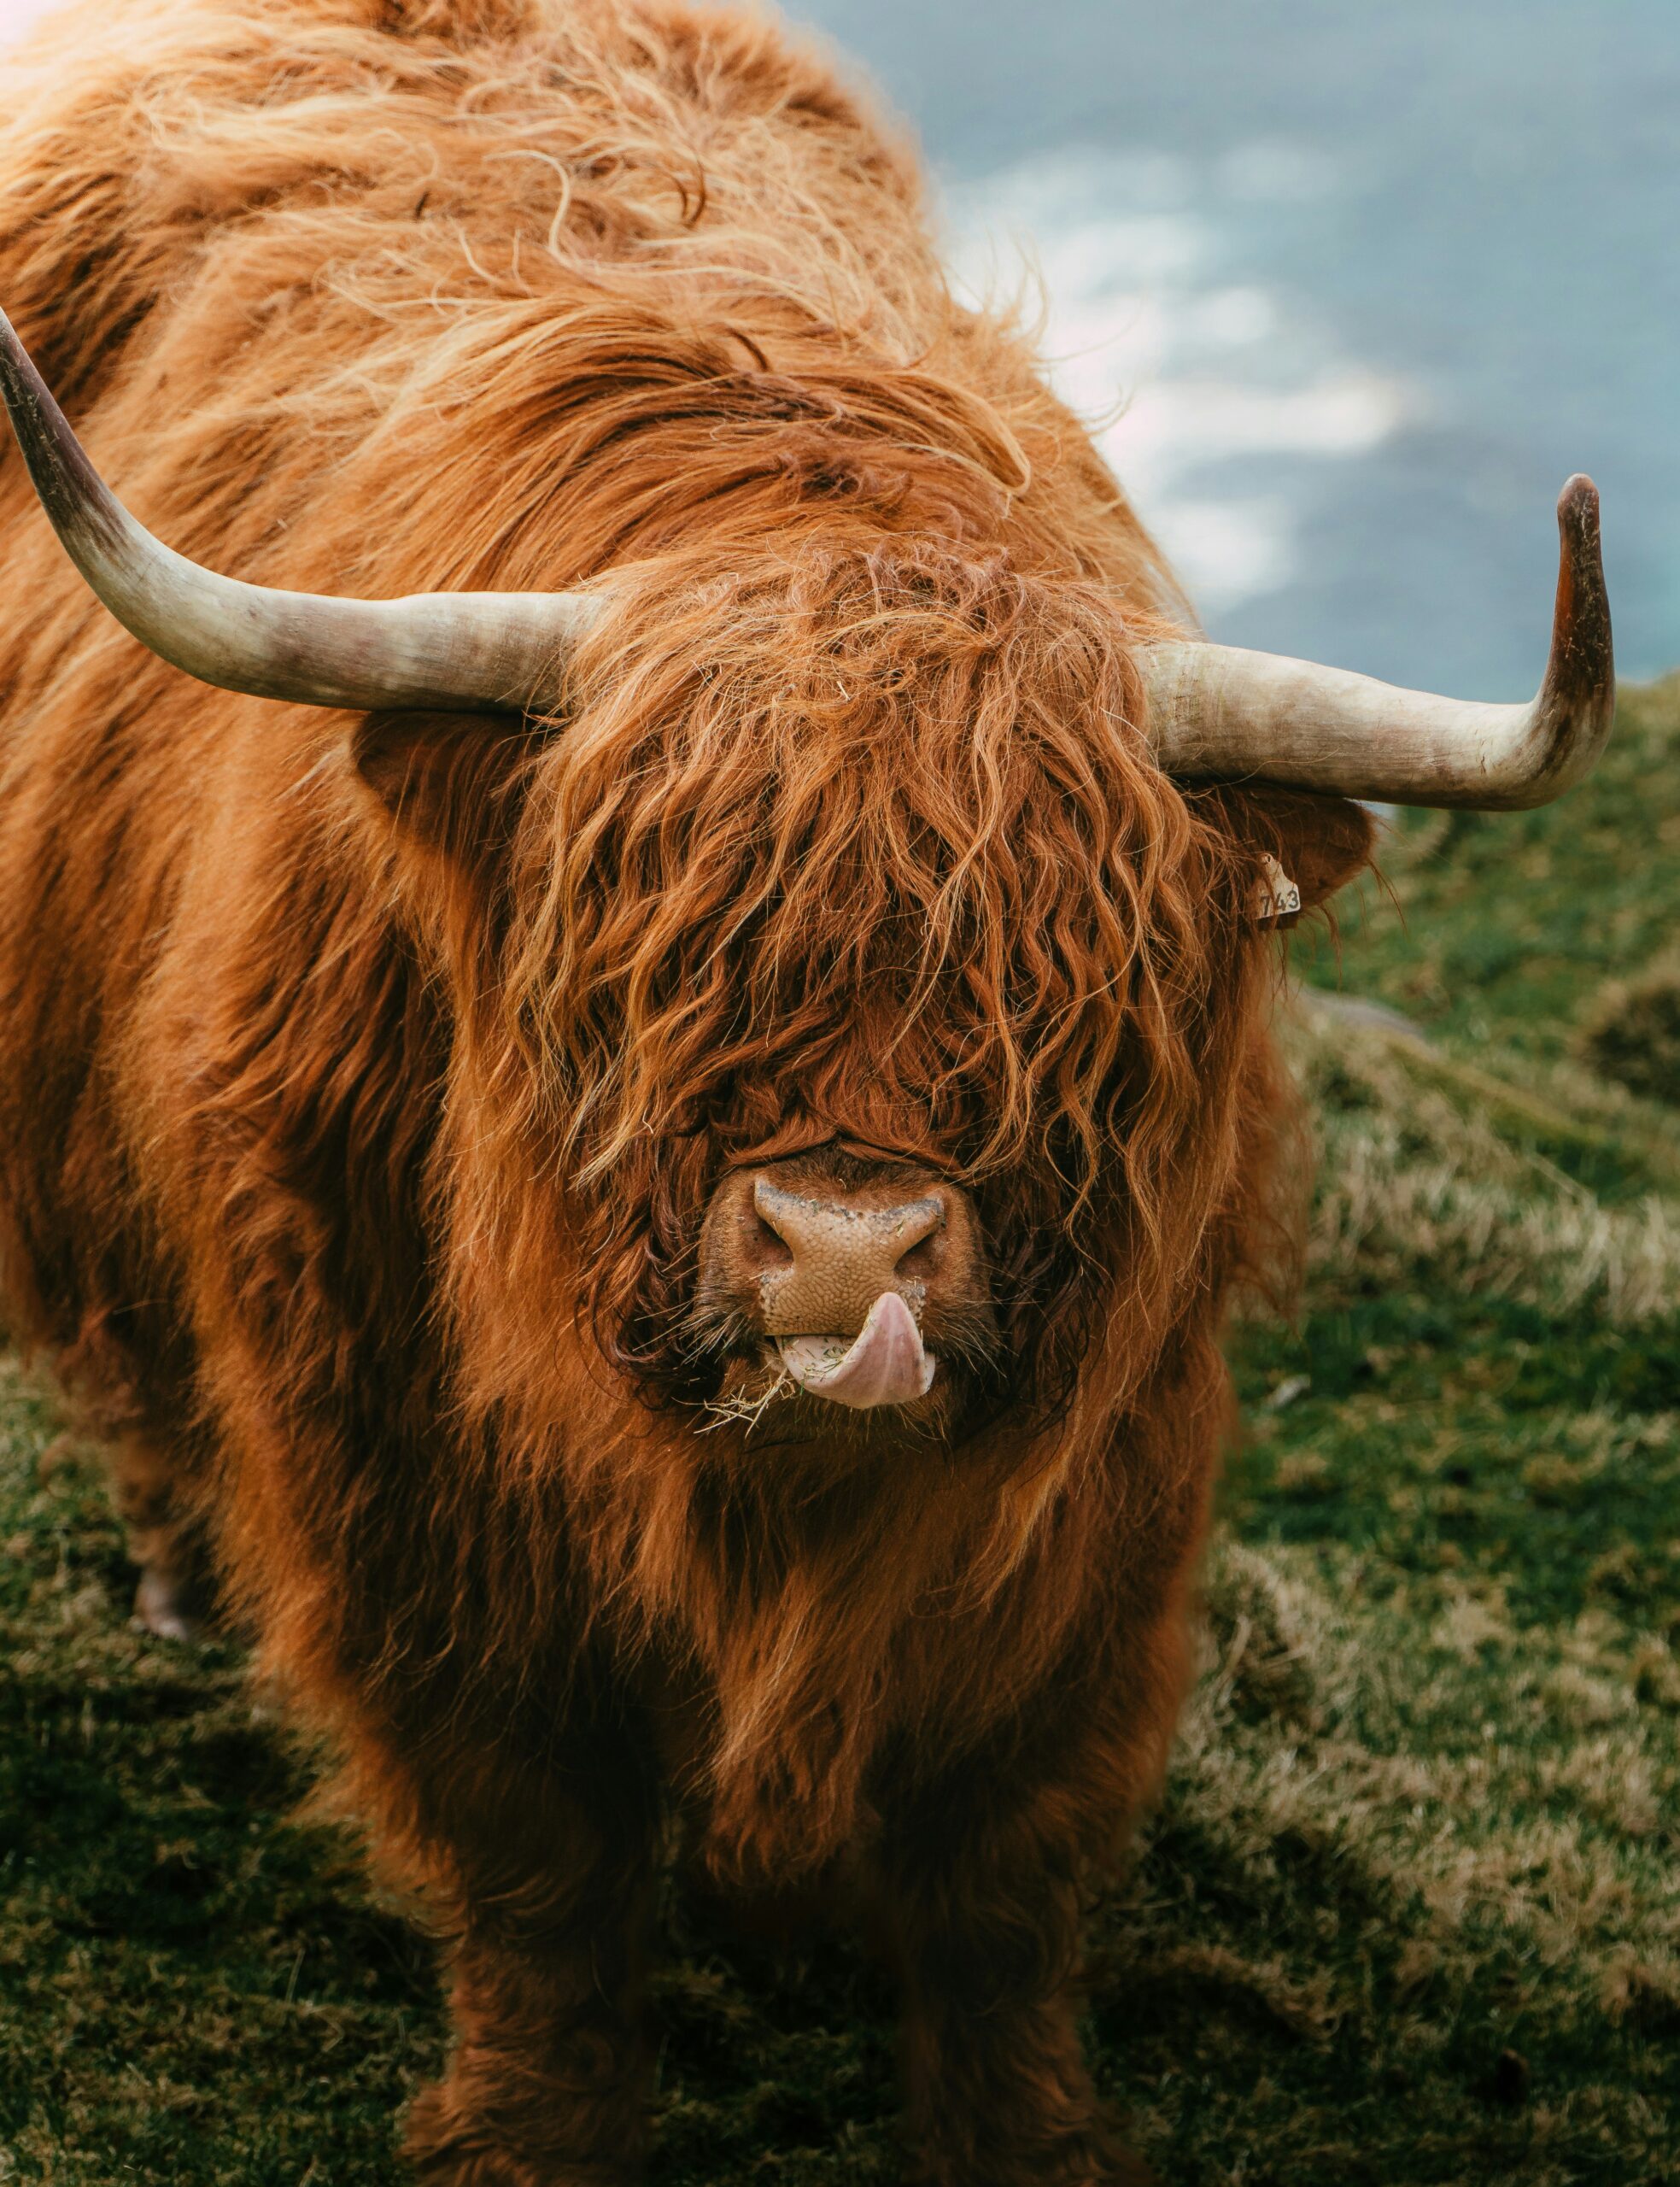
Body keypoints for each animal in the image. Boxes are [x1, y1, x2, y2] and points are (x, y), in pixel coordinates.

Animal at [0, 1, 1613, 2181]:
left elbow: (1000, 1875)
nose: (846, 1247)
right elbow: (532, 1850)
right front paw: (531, 2128)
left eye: (1071, 983)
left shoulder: (1101, 1496)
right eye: (645, 965)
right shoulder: (391, 1449)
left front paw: (1025, 2136)